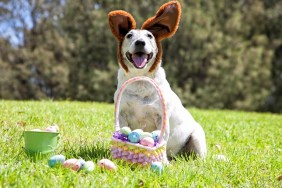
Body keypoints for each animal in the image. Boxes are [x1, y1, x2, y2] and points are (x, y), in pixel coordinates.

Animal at [108, 0, 207, 161]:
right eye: (129, 35)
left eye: (149, 35)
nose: (140, 42)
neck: (141, 80)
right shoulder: (121, 114)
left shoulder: (161, 118)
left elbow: (163, 140)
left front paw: (162, 162)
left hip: (197, 137)